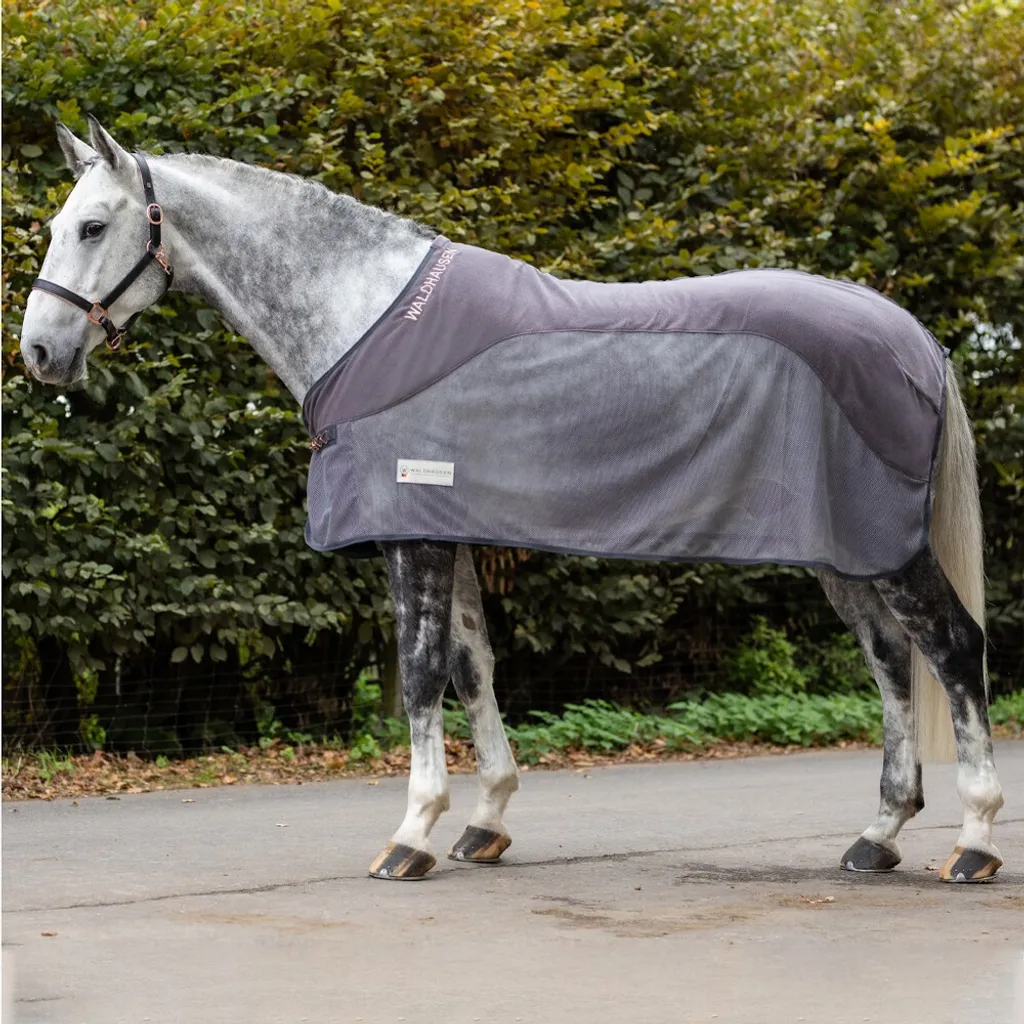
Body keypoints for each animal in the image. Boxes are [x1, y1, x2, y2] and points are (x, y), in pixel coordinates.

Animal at [19, 117, 1004, 883]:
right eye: (60, 222)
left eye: (94, 225)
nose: (38, 353)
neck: (363, 318)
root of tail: (913, 335)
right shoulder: (445, 526)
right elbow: (472, 666)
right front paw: (484, 820)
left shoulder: (410, 533)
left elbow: (421, 673)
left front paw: (411, 833)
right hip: (846, 551)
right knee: (890, 658)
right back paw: (877, 836)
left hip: (885, 544)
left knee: (953, 649)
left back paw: (975, 840)